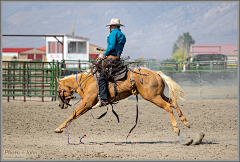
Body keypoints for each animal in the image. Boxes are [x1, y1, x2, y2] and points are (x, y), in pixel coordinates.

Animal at [54, 67, 189, 138]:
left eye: (58, 90)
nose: (60, 105)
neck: (87, 83)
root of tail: (156, 73)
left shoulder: (87, 103)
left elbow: (73, 114)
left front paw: (59, 128)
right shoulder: (87, 105)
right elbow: (74, 115)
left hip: (153, 97)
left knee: (168, 106)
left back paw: (177, 129)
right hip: (158, 95)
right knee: (173, 102)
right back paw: (185, 122)